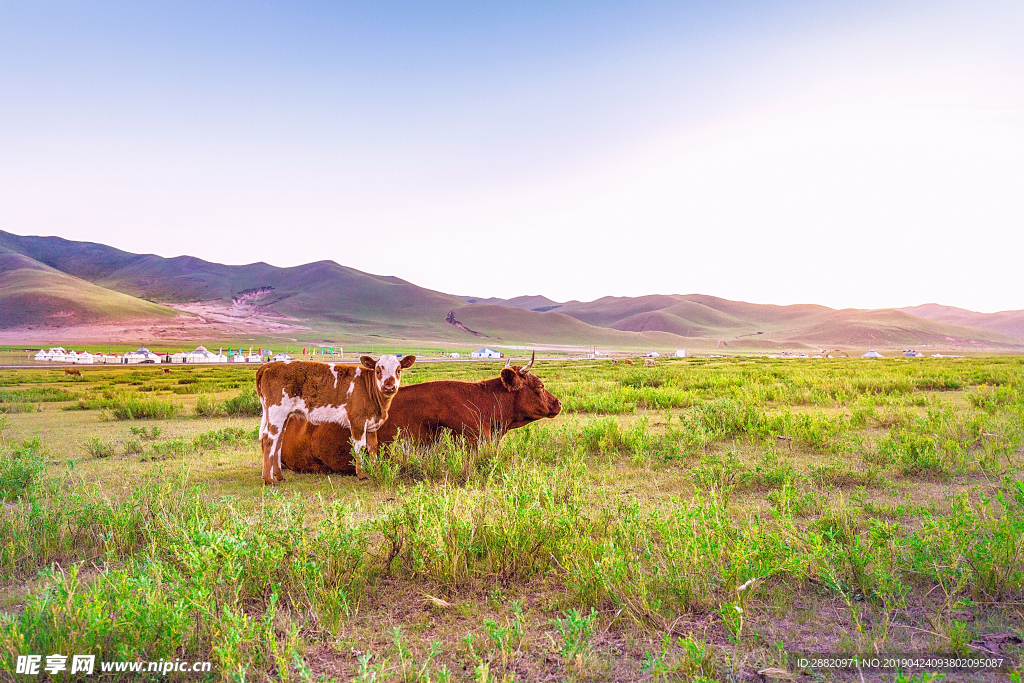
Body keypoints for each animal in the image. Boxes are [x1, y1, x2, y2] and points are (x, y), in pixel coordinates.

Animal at [253, 356, 413, 483]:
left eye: (398, 370)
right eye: (378, 371)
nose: (389, 387)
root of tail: (268, 366)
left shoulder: (372, 424)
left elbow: (372, 447)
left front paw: (374, 470)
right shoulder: (358, 420)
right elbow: (359, 447)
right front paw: (362, 475)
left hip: (283, 415)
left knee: (278, 441)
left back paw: (279, 476)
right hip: (277, 411)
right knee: (269, 440)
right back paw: (269, 479)